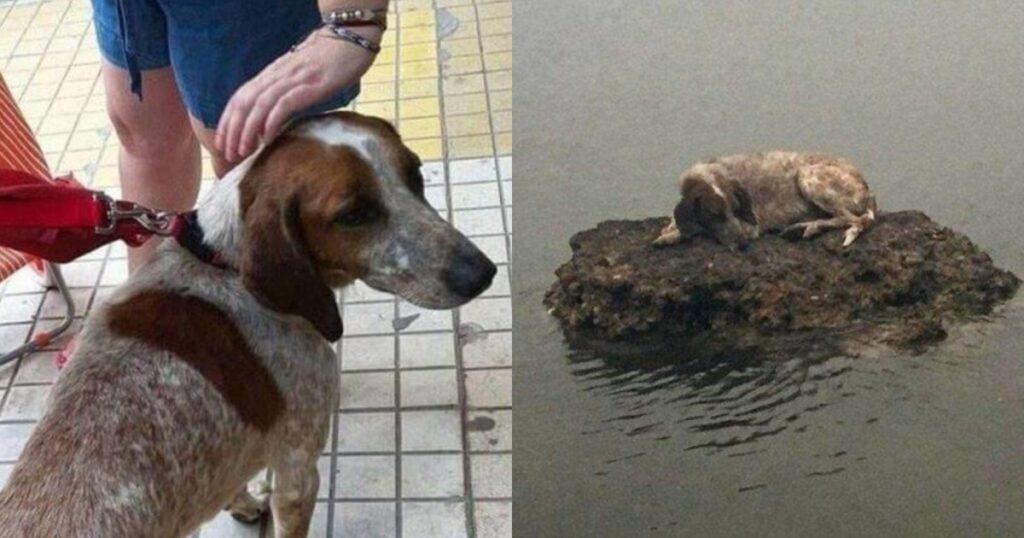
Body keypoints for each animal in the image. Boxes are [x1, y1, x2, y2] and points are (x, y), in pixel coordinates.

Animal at [651, 150, 876, 250]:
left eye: (736, 209)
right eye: (714, 214)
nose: (743, 244)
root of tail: (868, 189)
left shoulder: (750, 226)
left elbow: (697, 231)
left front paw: (672, 235)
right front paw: (671, 228)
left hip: (807, 176)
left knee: (854, 220)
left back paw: (807, 227)